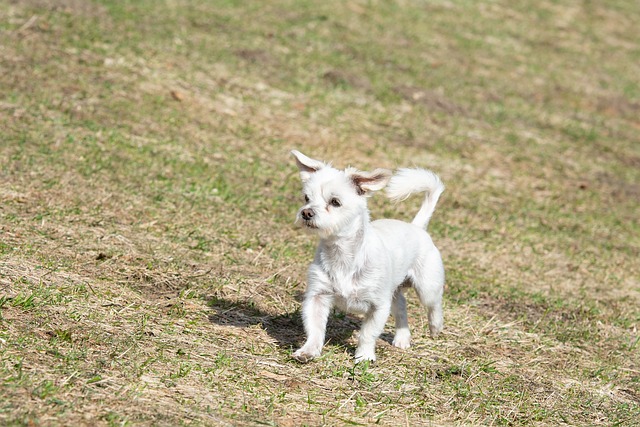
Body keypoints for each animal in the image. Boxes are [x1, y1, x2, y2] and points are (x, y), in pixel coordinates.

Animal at [290, 151, 444, 364]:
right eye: (306, 198)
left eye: (335, 202)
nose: (306, 212)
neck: (342, 254)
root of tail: (417, 227)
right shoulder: (317, 296)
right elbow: (315, 328)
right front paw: (308, 351)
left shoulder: (378, 306)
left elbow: (367, 334)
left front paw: (364, 356)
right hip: (395, 291)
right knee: (401, 307)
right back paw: (402, 337)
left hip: (426, 286)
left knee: (434, 304)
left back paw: (435, 327)